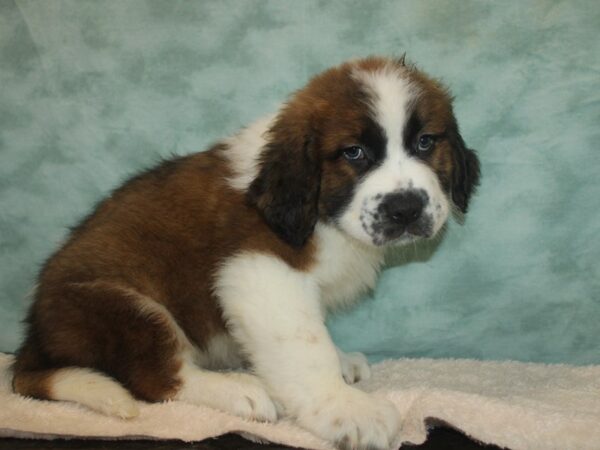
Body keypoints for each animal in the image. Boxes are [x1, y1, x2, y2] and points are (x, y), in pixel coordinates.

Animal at [12, 56, 478, 450]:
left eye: (425, 142)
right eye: (354, 153)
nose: (406, 208)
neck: (322, 213)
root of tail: (33, 337)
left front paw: (342, 365)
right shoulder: (263, 273)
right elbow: (305, 347)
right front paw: (346, 409)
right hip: (123, 305)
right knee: (156, 379)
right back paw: (235, 389)